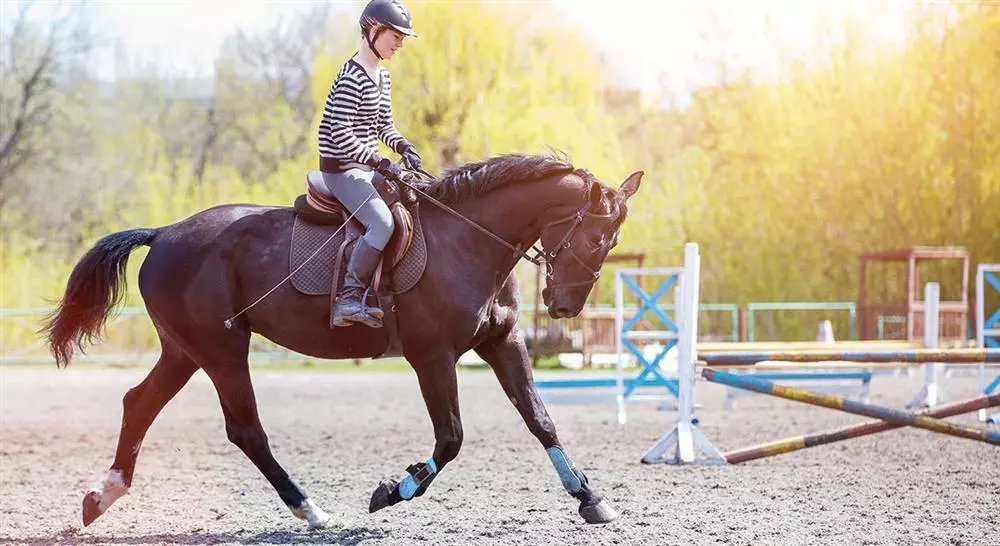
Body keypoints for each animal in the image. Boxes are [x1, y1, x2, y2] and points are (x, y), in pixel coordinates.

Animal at [43, 153, 640, 528]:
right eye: (594, 237)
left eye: (613, 242)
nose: (565, 306)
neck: (468, 239)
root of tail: (165, 233)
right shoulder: (432, 357)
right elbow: (450, 438)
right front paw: (395, 491)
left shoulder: (503, 344)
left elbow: (541, 419)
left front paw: (590, 498)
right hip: (221, 350)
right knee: (245, 430)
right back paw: (310, 510)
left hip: (185, 352)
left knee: (139, 403)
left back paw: (101, 496)